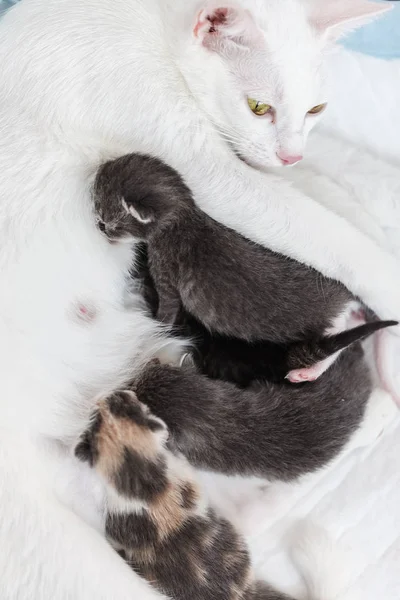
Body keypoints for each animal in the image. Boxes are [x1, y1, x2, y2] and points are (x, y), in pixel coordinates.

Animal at [0, 0, 394, 596]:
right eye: (259, 107)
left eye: (317, 108)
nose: (291, 155)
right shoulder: (195, 155)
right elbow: (321, 226)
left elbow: (329, 200)